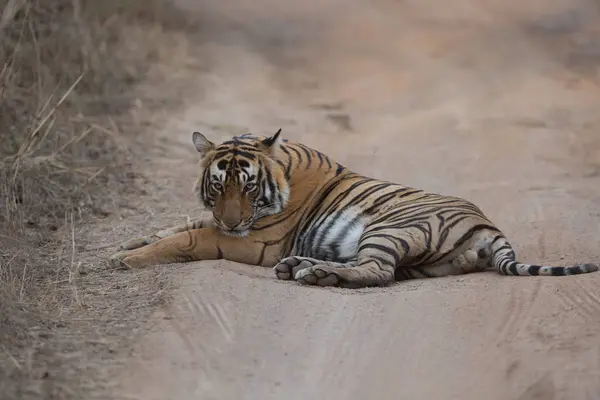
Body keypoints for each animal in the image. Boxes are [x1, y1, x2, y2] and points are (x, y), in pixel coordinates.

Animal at [109, 128, 600, 288]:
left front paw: (126, 259)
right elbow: (185, 223)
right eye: (218, 186)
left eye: (248, 188)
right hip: (422, 259)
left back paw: (312, 274)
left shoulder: (255, 242)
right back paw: (305, 267)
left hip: (391, 227)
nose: (233, 220)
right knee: (382, 270)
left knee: (378, 273)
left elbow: (192, 237)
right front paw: (133, 240)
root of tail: (490, 226)